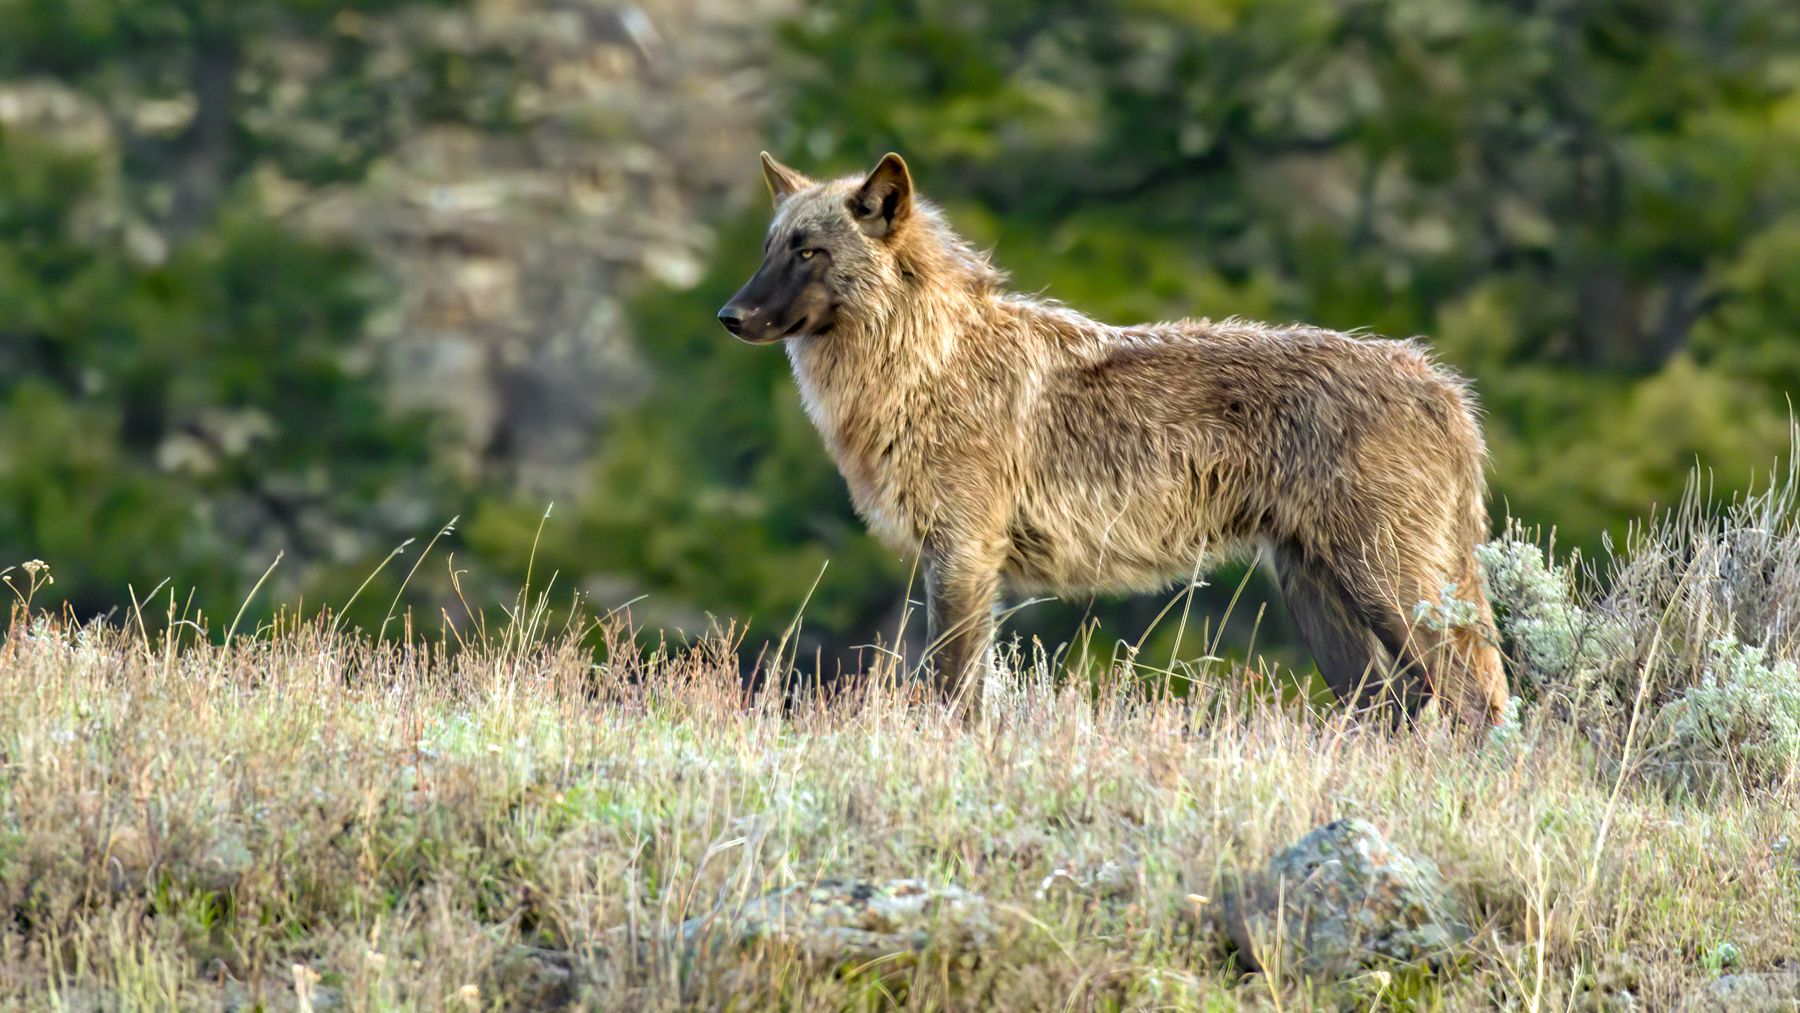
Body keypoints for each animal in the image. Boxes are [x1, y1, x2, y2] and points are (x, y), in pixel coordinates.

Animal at [717, 151, 1509, 725]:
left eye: (809, 252)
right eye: (769, 248)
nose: (728, 316)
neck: (925, 363)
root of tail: (1443, 386)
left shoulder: (965, 556)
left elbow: (955, 694)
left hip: (1388, 593)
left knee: (1475, 705)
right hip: (1328, 609)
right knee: (1398, 712)